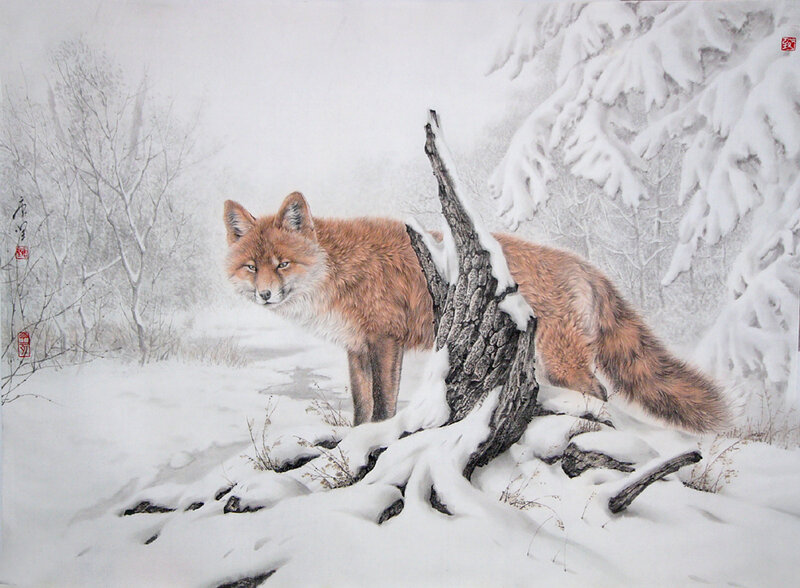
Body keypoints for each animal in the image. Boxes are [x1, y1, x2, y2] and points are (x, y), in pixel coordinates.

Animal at [224, 191, 729, 432]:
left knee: (601, 395)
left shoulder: (385, 342)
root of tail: (586, 265)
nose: (266, 295)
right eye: (251, 267)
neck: (338, 269)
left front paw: (377, 440)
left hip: (561, 363)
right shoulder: (355, 349)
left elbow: (384, 407)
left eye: (282, 264)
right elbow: (361, 406)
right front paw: (356, 437)